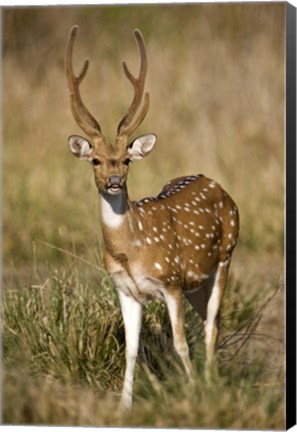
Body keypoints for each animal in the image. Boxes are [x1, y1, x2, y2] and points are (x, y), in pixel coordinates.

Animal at [65, 25, 238, 410]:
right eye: (95, 160)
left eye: (127, 159)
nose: (114, 181)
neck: (132, 249)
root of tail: (214, 182)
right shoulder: (125, 290)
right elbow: (132, 349)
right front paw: (124, 406)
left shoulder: (170, 282)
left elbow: (179, 344)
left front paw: (192, 394)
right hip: (197, 283)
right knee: (213, 321)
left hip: (224, 257)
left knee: (211, 326)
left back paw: (211, 386)